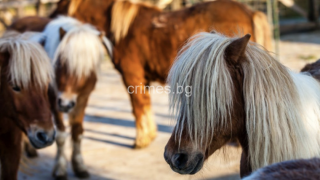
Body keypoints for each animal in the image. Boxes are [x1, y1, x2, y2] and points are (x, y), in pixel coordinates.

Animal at [47, 0, 272, 149]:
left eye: (59, 6)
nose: (48, 20)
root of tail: (250, 11)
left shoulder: (132, 77)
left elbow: (137, 107)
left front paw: (140, 140)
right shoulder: (142, 80)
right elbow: (145, 105)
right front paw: (149, 135)